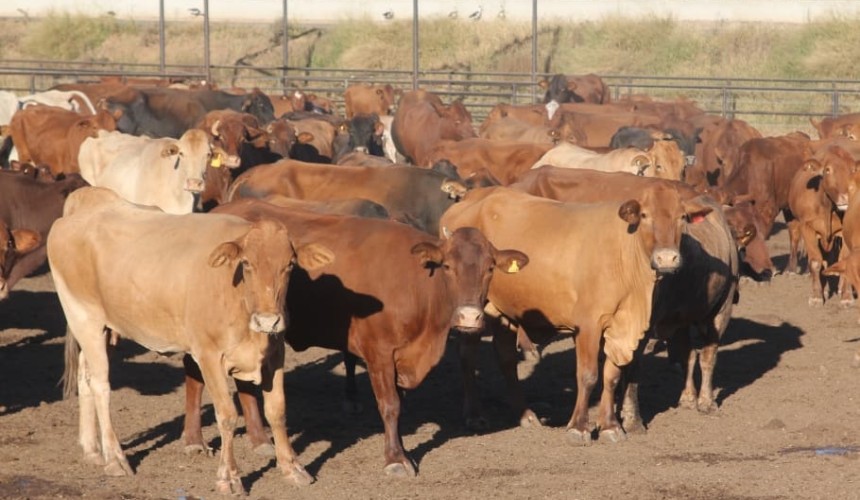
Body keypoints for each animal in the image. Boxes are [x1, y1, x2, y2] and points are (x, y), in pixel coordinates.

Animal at [51, 187, 334, 493]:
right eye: (246, 263)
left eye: (290, 265)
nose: (268, 321)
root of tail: (87, 205)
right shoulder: (209, 356)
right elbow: (227, 415)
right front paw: (229, 477)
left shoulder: (275, 353)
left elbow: (277, 410)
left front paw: (293, 468)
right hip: (83, 317)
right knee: (101, 384)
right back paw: (115, 458)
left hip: (107, 329)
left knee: (85, 374)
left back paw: (92, 449)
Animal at [440, 182, 714, 442]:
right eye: (645, 215)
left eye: (682, 217)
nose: (667, 258)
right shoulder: (588, 324)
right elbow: (588, 374)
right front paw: (579, 427)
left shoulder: (618, 327)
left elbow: (612, 375)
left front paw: (610, 426)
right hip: (471, 309)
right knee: (467, 355)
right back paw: (474, 414)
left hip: (503, 310)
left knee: (506, 358)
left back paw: (526, 414)